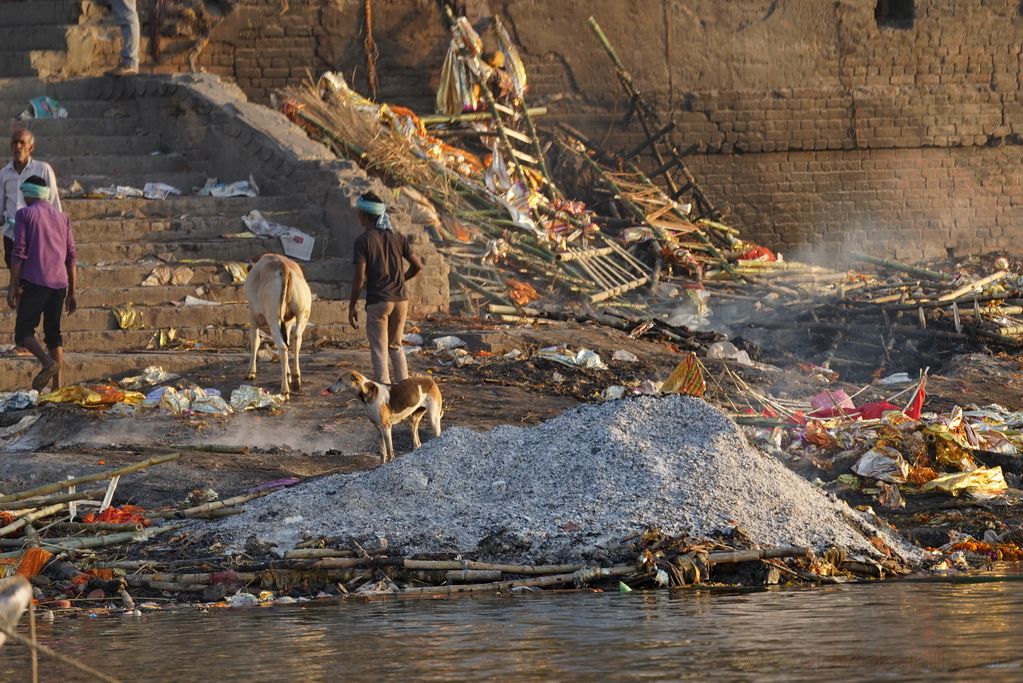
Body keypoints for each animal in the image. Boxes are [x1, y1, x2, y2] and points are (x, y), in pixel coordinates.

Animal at [244, 254, 310, 394]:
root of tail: (283, 266)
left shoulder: (253, 316)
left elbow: (255, 341)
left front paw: (251, 372)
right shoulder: (288, 323)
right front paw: (288, 374)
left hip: (273, 319)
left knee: (282, 347)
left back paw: (285, 388)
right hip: (302, 314)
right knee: (296, 340)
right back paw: (296, 380)